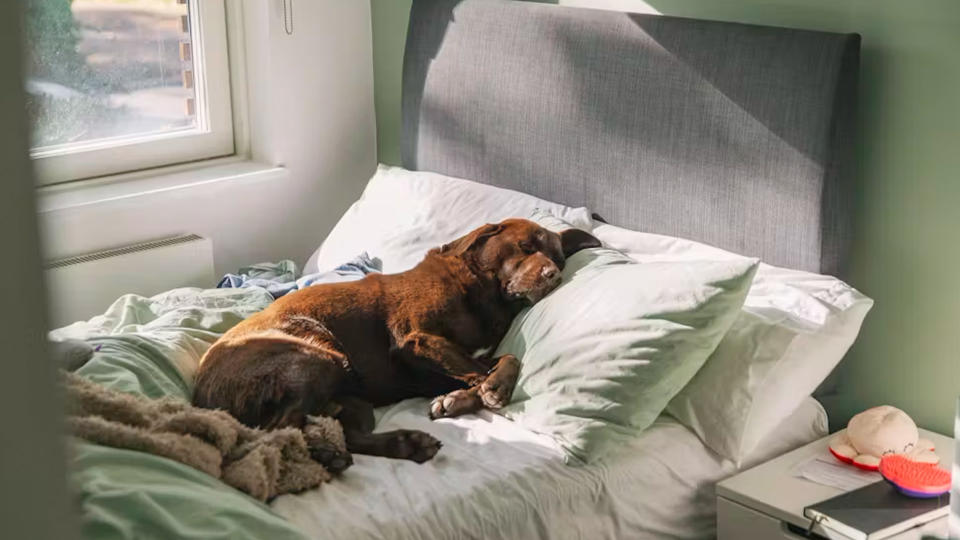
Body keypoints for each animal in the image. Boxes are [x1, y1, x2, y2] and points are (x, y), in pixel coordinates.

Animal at [193, 217, 600, 466]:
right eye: (524, 246)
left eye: (559, 258)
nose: (553, 275)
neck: (487, 294)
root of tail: (201, 397)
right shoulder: (416, 339)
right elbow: (485, 367)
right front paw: (488, 389)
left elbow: (498, 362)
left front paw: (461, 397)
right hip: (320, 359)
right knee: (277, 429)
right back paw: (326, 453)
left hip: (354, 400)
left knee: (339, 432)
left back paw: (400, 444)